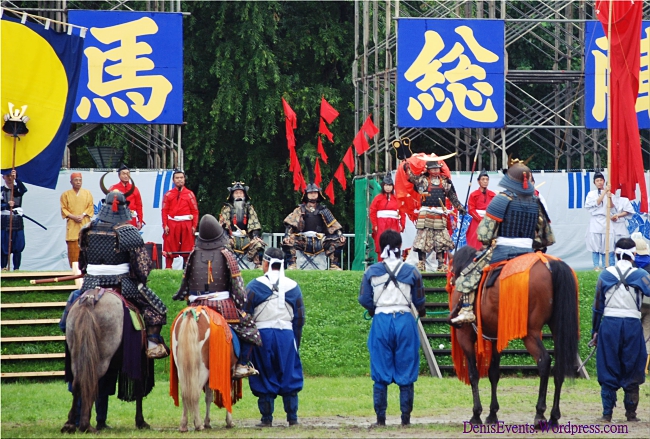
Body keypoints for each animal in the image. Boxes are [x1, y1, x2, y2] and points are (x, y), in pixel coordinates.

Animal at [60, 288, 149, 434]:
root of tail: (90, 299)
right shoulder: (138, 361)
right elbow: (138, 390)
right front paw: (140, 421)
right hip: (102, 359)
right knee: (91, 382)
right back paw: (86, 425)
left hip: (78, 355)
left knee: (78, 383)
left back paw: (71, 424)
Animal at [448, 248, 580, 430]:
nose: (452, 281)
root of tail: (550, 263)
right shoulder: (495, 338)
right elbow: (493, 373)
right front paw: (492, 414)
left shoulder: (465, 337)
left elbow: (474, 374)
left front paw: (476, 414)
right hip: (558, 327)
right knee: (559, 366)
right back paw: (553, 417)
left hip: (530, 333)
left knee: (544, 360)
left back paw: (540, 414)